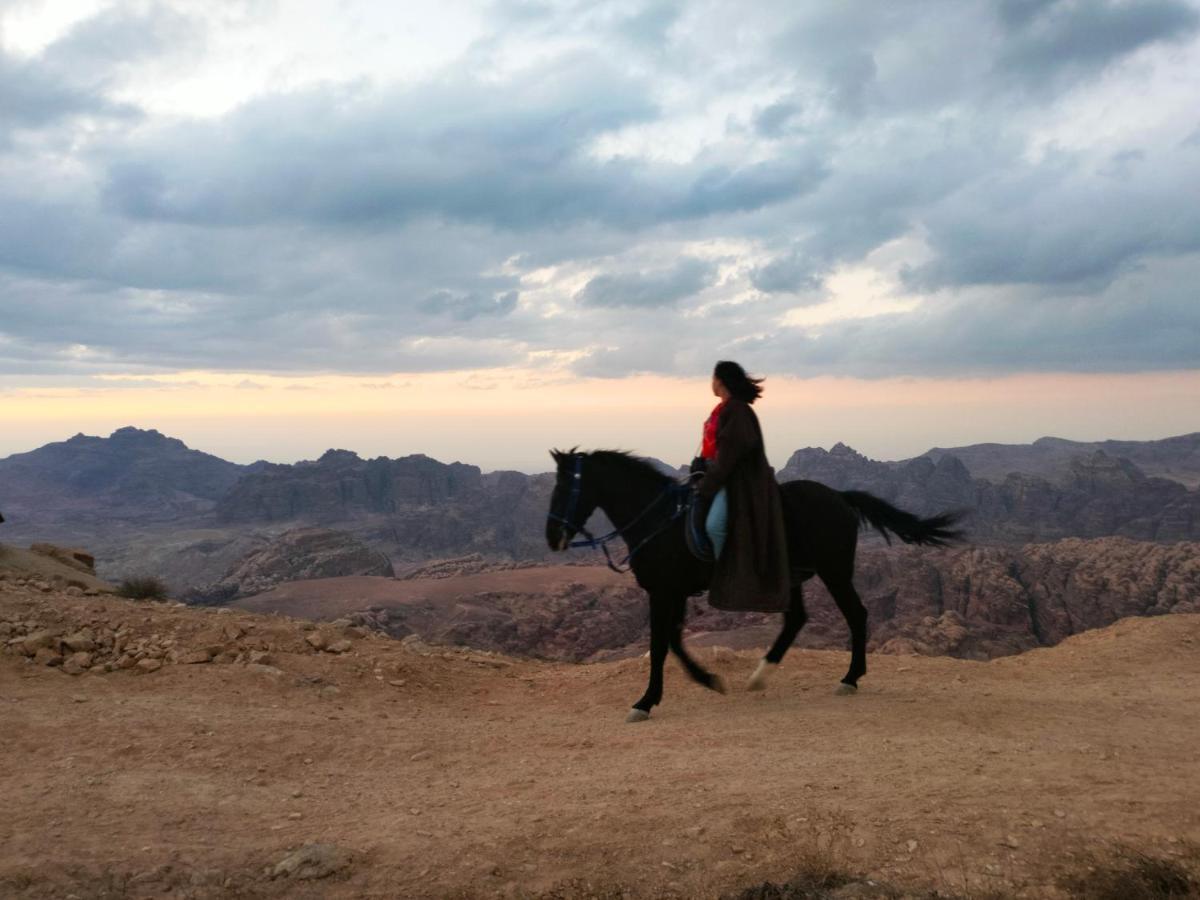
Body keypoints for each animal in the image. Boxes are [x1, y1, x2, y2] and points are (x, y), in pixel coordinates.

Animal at [544, 451, 964, 724]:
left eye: (564, 488)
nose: (552, 537)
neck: (661, 521)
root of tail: (840, 497)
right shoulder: (674, 593)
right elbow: (674, 643)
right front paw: (707, 680)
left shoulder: (663, 593)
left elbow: (661, 646)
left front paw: (646, 701)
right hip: (794, 577)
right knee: (796, 619)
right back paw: (762, 674)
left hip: (834, 571)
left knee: (855, 615)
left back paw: (849, 679)